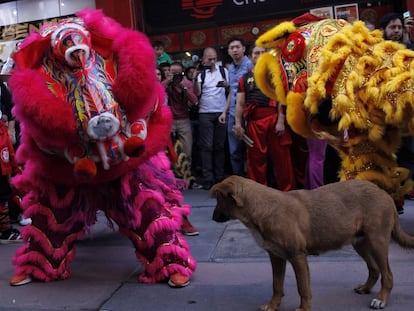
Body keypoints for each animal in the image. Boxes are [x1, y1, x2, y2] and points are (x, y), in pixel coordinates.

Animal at [212, 177, 414, 310]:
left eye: (218, 199)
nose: (213, 218)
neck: (261, 209)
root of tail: (385, 194)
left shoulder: (297, 256)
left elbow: (303, 288)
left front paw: (303, 309)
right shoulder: (276, 257)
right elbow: (277, 285)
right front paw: (273, 305)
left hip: (377, 241)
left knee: (387, 275)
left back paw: (381, 300)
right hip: (360, 242)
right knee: (374, 269)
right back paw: (365, 288)